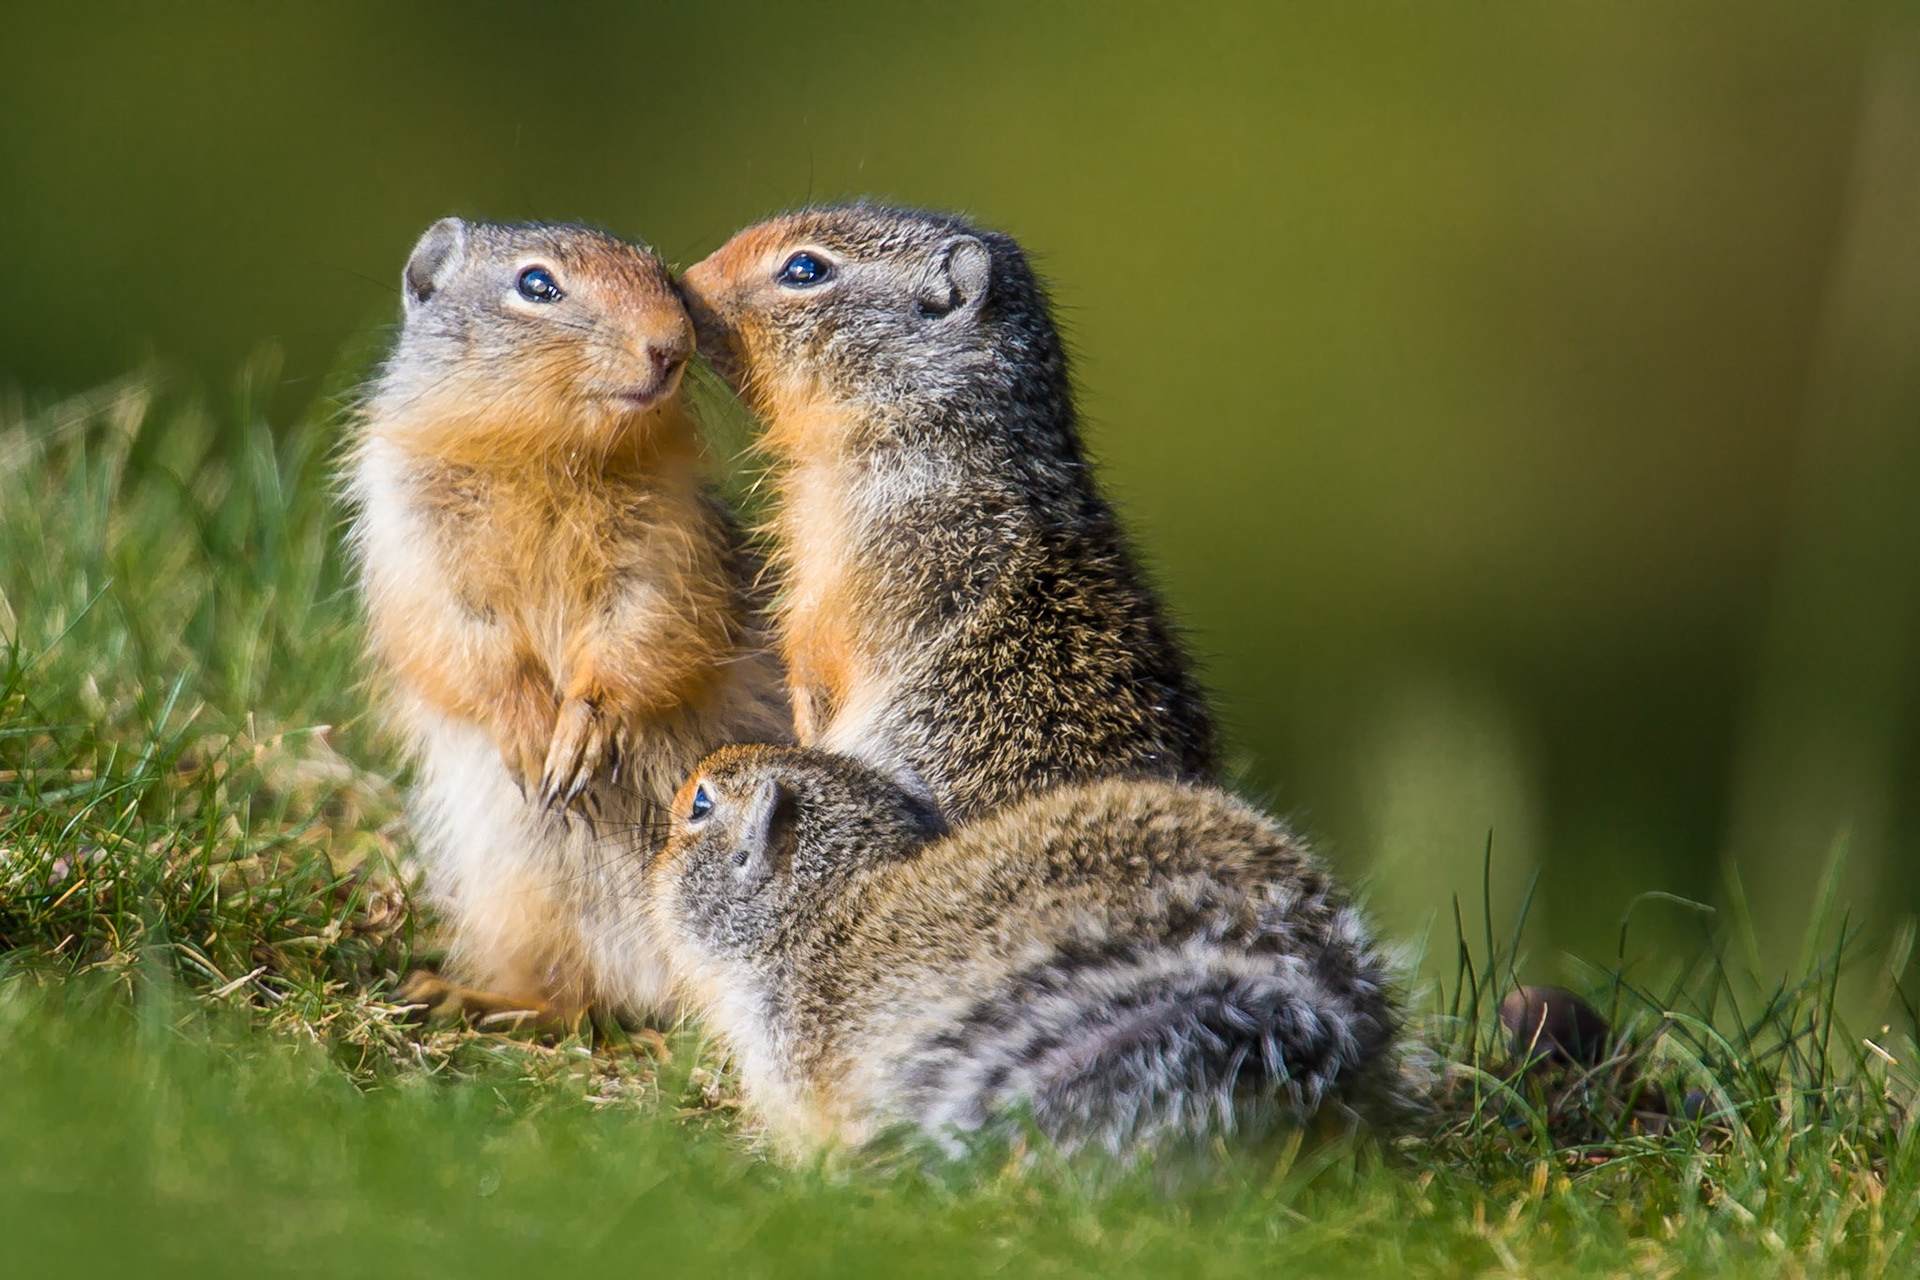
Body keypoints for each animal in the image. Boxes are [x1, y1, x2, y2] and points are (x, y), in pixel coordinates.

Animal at [346, 218, 790, 1024]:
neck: (552, 457)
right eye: (536, 285)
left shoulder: (667, 553)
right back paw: (457, 996)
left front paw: (581, 734)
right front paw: (530, 738)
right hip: (518, 895)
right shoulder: (416, 547)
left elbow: (642, 636)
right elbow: (464, 645)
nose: (671, 345)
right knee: (565, 998)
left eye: (666, 278)